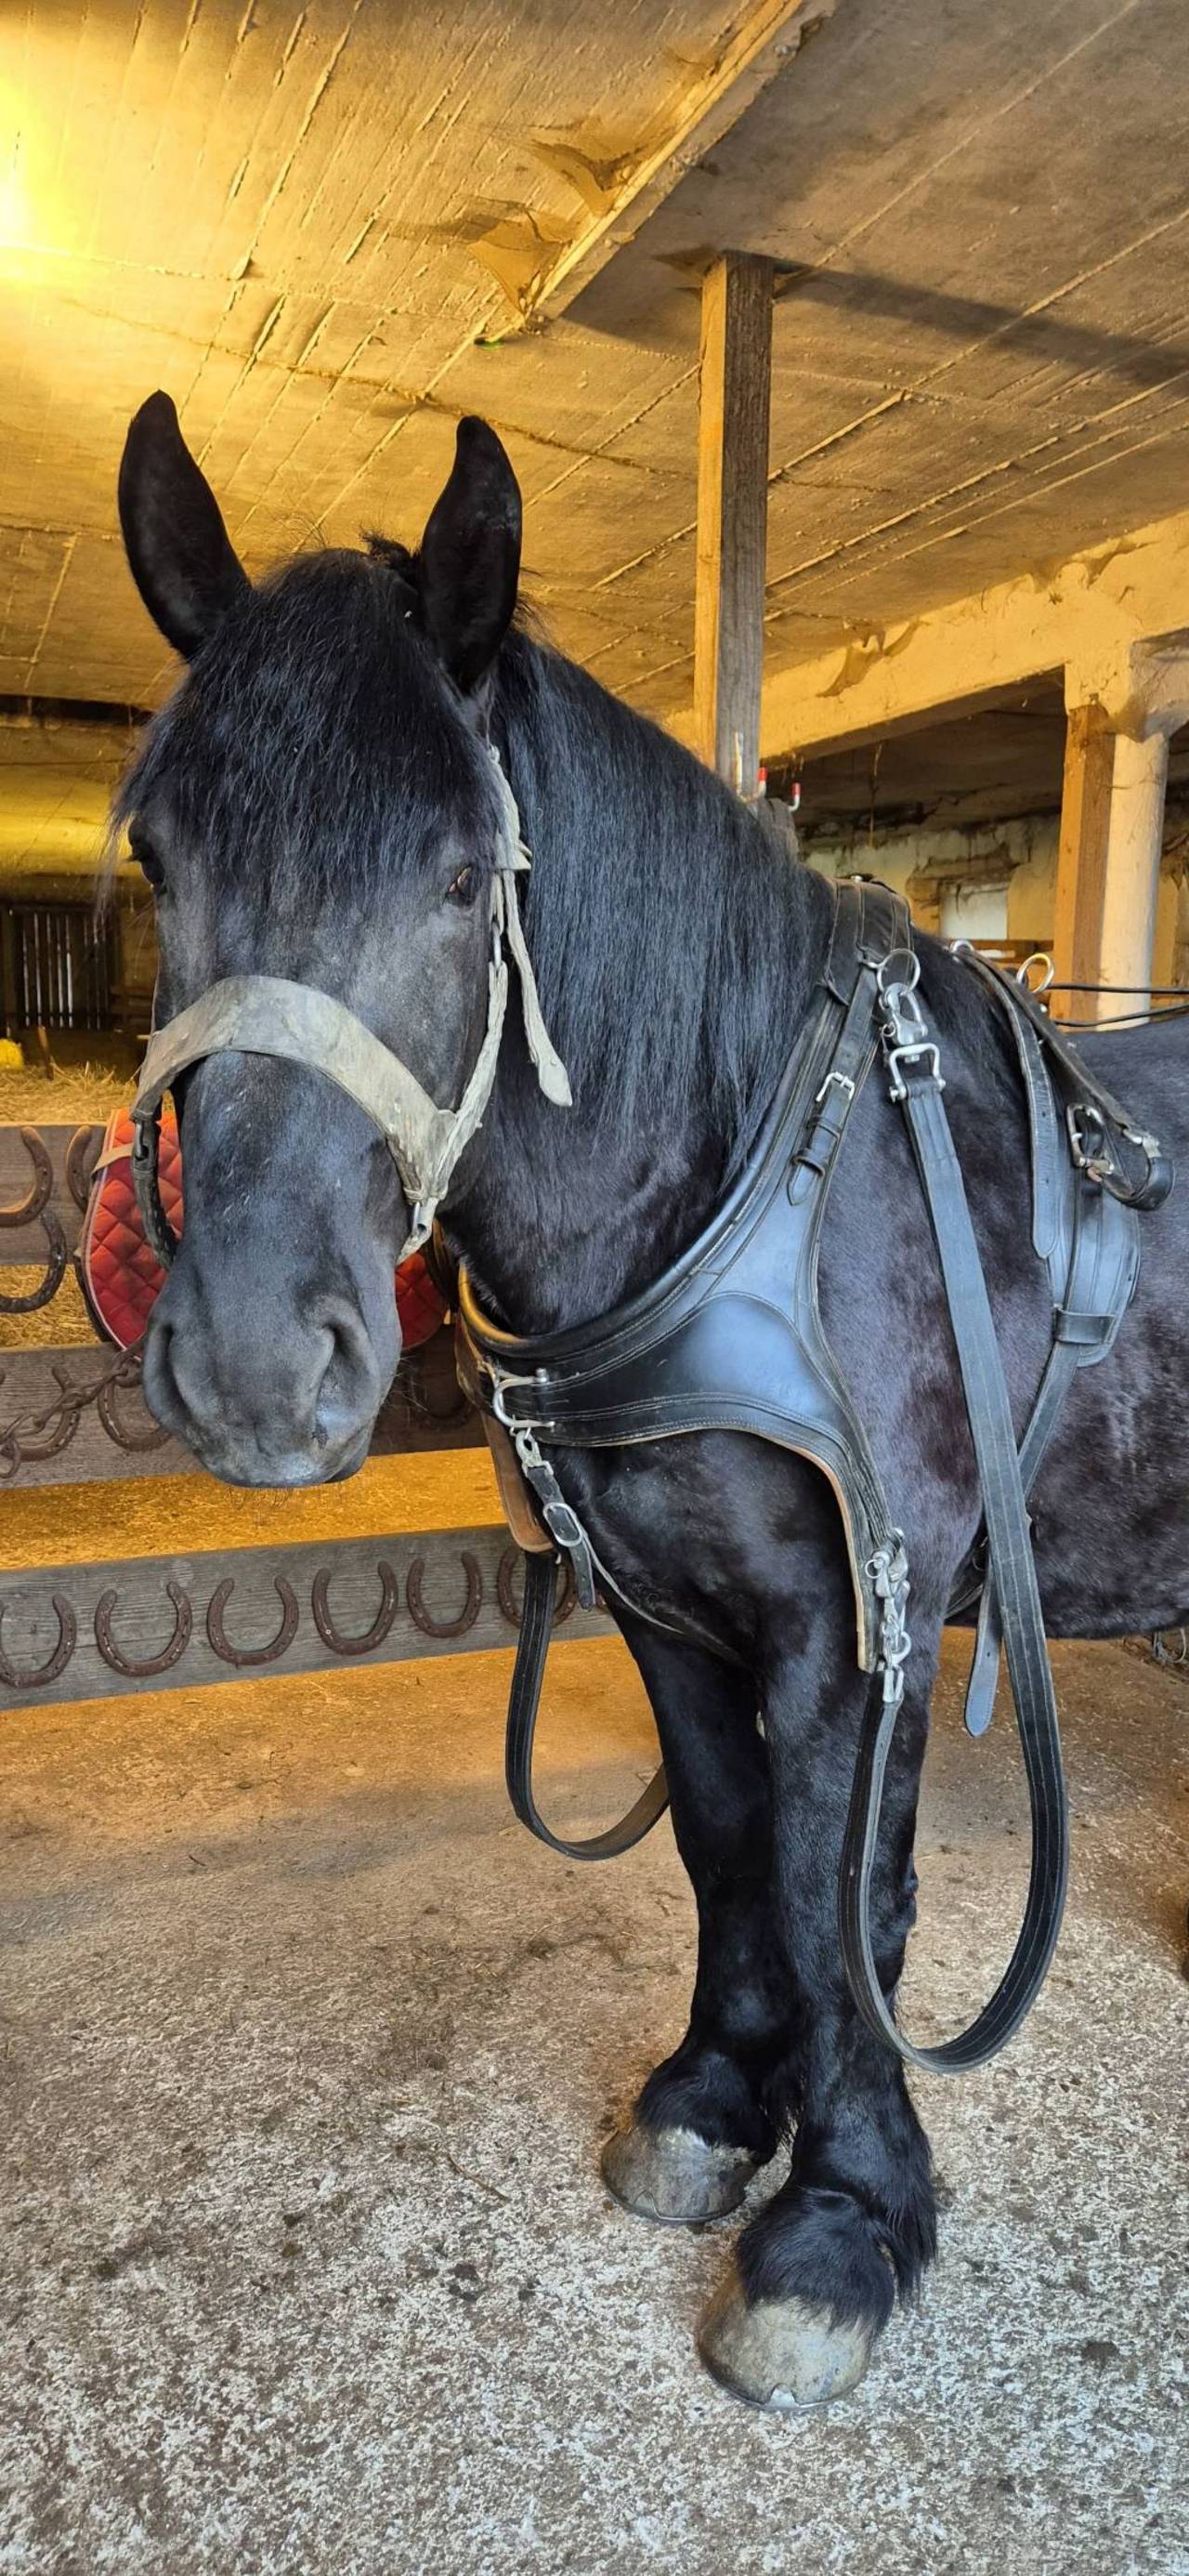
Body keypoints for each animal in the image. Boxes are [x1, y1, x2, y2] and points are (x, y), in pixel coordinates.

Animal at [112, 393, 1189, 2411]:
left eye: (468, 875)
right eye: (158, 863)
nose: (252, 1366)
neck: (749, 1176)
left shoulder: (859, 1625)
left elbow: (850, 1911)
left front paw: (839, 2226)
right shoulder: (671, 1614)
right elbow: (728, 1855)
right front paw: (710, 2103)